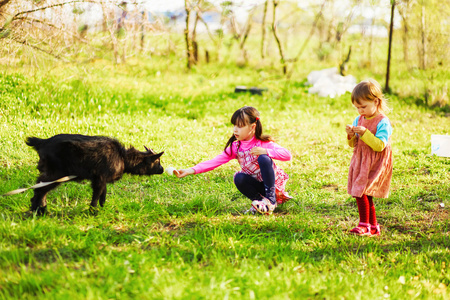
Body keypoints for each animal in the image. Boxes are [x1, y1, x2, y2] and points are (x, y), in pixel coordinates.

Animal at [25, 133, 164, 213]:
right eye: (157, 161)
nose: (162, 169)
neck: (123, 157)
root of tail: (42, 142)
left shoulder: (99, 178)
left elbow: (103, 192)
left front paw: (102, 205)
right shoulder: (100, 178)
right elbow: (97, 194)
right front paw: (93, 211)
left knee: (40, 187)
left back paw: (40, 208)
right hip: (56, 173)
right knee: (39, 188)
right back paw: (37, 209)